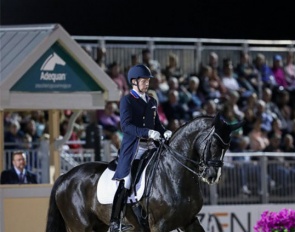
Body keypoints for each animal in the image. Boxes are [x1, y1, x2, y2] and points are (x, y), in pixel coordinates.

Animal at [46, 113, 244, 231]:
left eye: (228, 147)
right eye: (215, 144)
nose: (212, 176)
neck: (174, 175)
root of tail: (64, 177)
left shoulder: (190, 221)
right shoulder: (159, 226)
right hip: (80, 226)